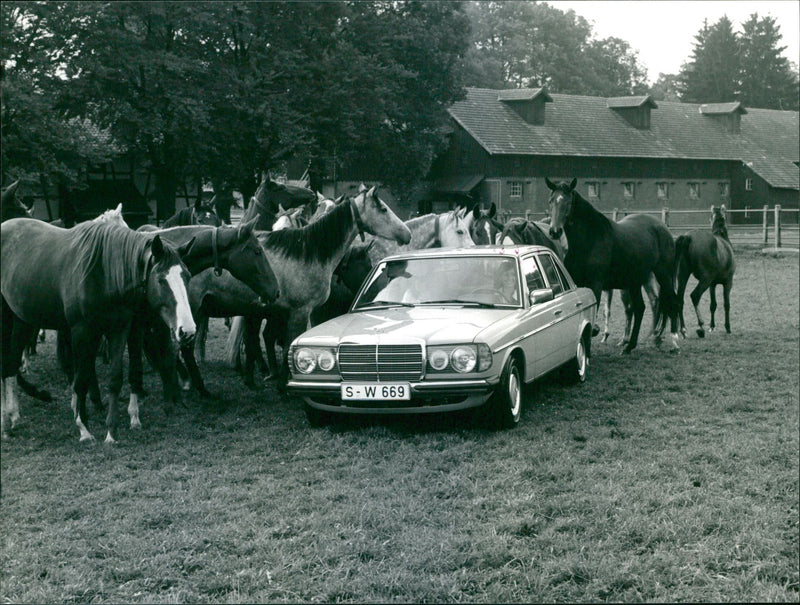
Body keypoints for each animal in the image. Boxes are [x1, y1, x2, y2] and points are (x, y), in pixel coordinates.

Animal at [2, 219, 196, 442]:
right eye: (161, 280)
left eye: (187, 276)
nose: (187, 330)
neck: (104, 273)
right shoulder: (83, 331)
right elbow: (82, 379)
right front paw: (84, 428)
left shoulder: (120, 329)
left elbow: (116, 377)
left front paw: (111, 431)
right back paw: (6, 423)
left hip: (22, 320)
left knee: (10, 364)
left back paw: (13, 417)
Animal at [544, 177, 680, 352]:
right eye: (551, 201)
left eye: (568, 202)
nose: (555, 231)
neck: (589, 240)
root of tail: (663, 228)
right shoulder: (579, 283)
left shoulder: (596, 284)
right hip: (635, 281)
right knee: (639, 308)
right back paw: (629, 346)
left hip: (664, 275)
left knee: (672, 302)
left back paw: (675, 341)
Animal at [676, 203, 736, 336]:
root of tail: (688, 237)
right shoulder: (728, 282)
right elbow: (727, 304)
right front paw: (728, 327)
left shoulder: (712, 285)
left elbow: (713, 305)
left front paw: (712, 326)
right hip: (705, 280)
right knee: (695, 296)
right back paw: (700, 326)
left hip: (683, 276)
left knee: (679, 299)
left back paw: (683, 329)